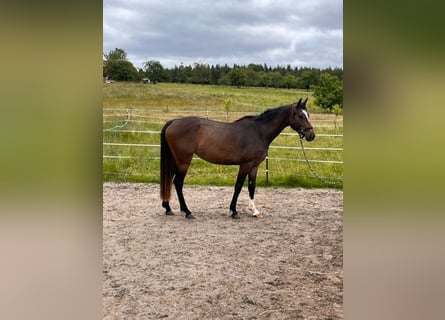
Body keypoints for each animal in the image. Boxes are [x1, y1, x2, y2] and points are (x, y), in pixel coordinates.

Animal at [158, 96, 314, 219]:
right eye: (300, 116)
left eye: (308, 114)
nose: (311, 135)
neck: (258, 132)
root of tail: (173, 122)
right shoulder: (245, 165)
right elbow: (238, 186)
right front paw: (234, 211)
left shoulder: (254, 166)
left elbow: (251, 186)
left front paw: (254, 211)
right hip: (184, 161)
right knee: (178, 182)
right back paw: (187, 212)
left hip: (176, 160)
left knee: (170, 180)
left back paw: (168, 208)